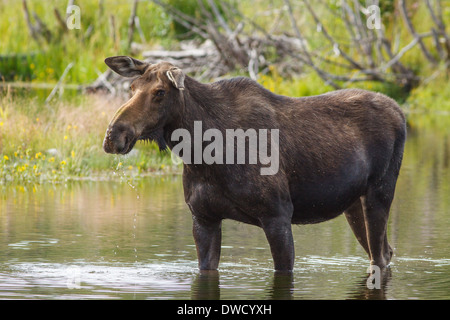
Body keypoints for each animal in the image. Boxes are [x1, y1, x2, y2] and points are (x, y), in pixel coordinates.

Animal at [103, 56, 406, 272]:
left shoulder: (277, 215)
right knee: (386, 251)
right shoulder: (203, 218)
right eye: (131, 88)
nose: (113, 135)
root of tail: (401, 112)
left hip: (380, 192)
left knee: (379, 257)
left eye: (159, 92)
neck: (203, 155)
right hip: (352, 204)